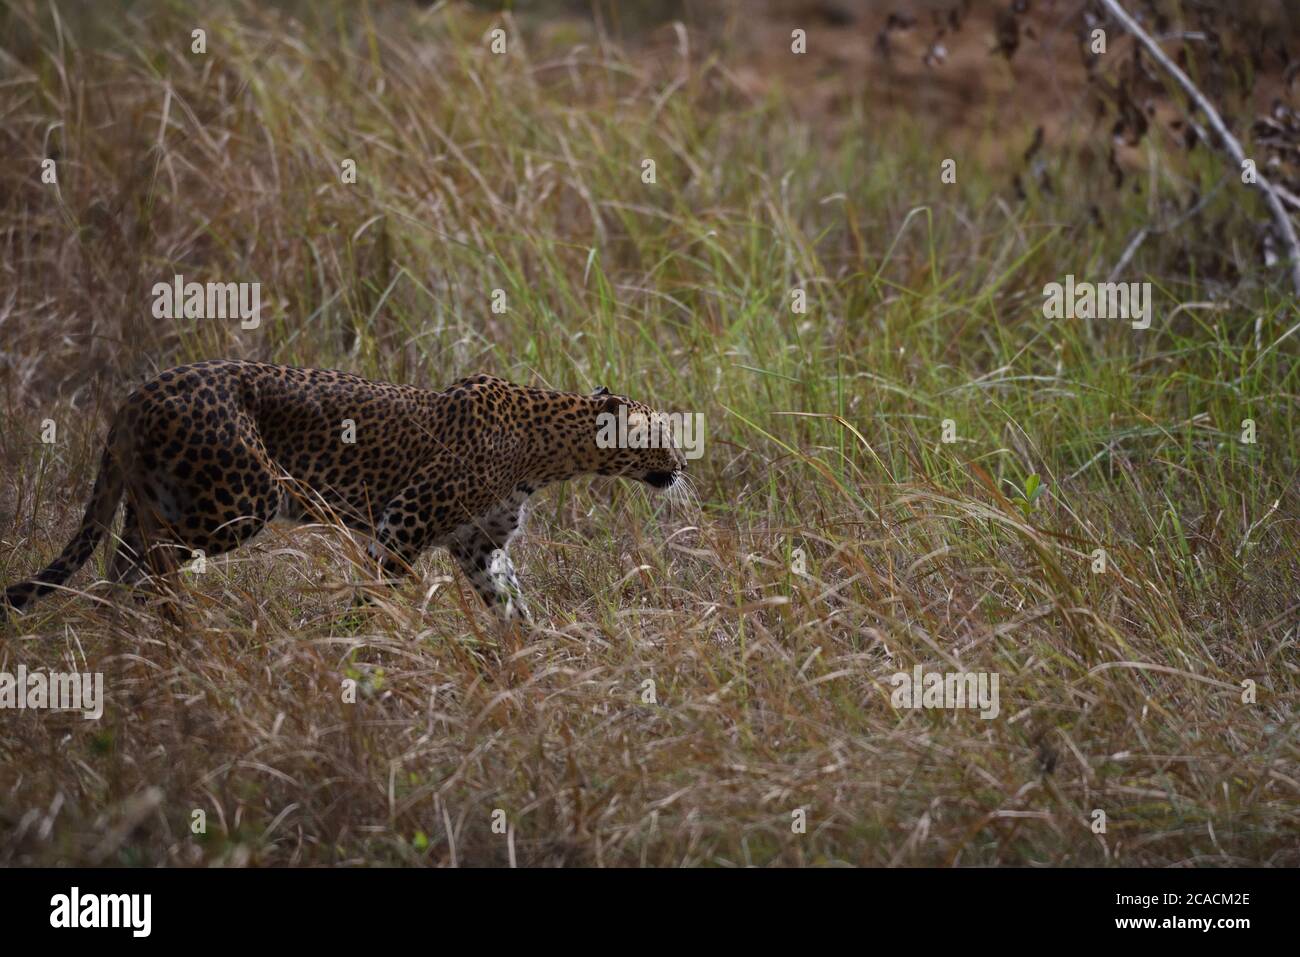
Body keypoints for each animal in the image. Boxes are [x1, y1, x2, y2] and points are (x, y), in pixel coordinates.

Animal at [3, 360, 688, 622]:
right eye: (658, 433)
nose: (682, 465)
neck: (551, 453)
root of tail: (136, 394)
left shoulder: (479, 544)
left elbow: (510, 600)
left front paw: (532, 654)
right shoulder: (405, 520)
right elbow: (377, 589)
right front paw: (357, 641)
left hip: (167, 496)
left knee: (124, 558)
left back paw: (131, 629)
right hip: (241, 498)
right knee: (152, 558)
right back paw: (172, 623)